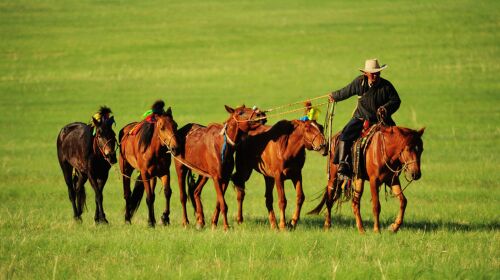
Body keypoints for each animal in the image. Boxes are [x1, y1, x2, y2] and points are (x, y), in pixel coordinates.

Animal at [118, 100, 180, 228]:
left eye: (175, 125)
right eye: (162, 127)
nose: (175, 148)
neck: (154, 151)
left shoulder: (164, 172)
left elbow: (167, 192)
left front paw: (165, 218)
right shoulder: (145, 174)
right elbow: (149, 197)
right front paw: (151, 222)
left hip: (153, 176)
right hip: (125, 169)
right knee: (127, 194)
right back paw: (127, 219)